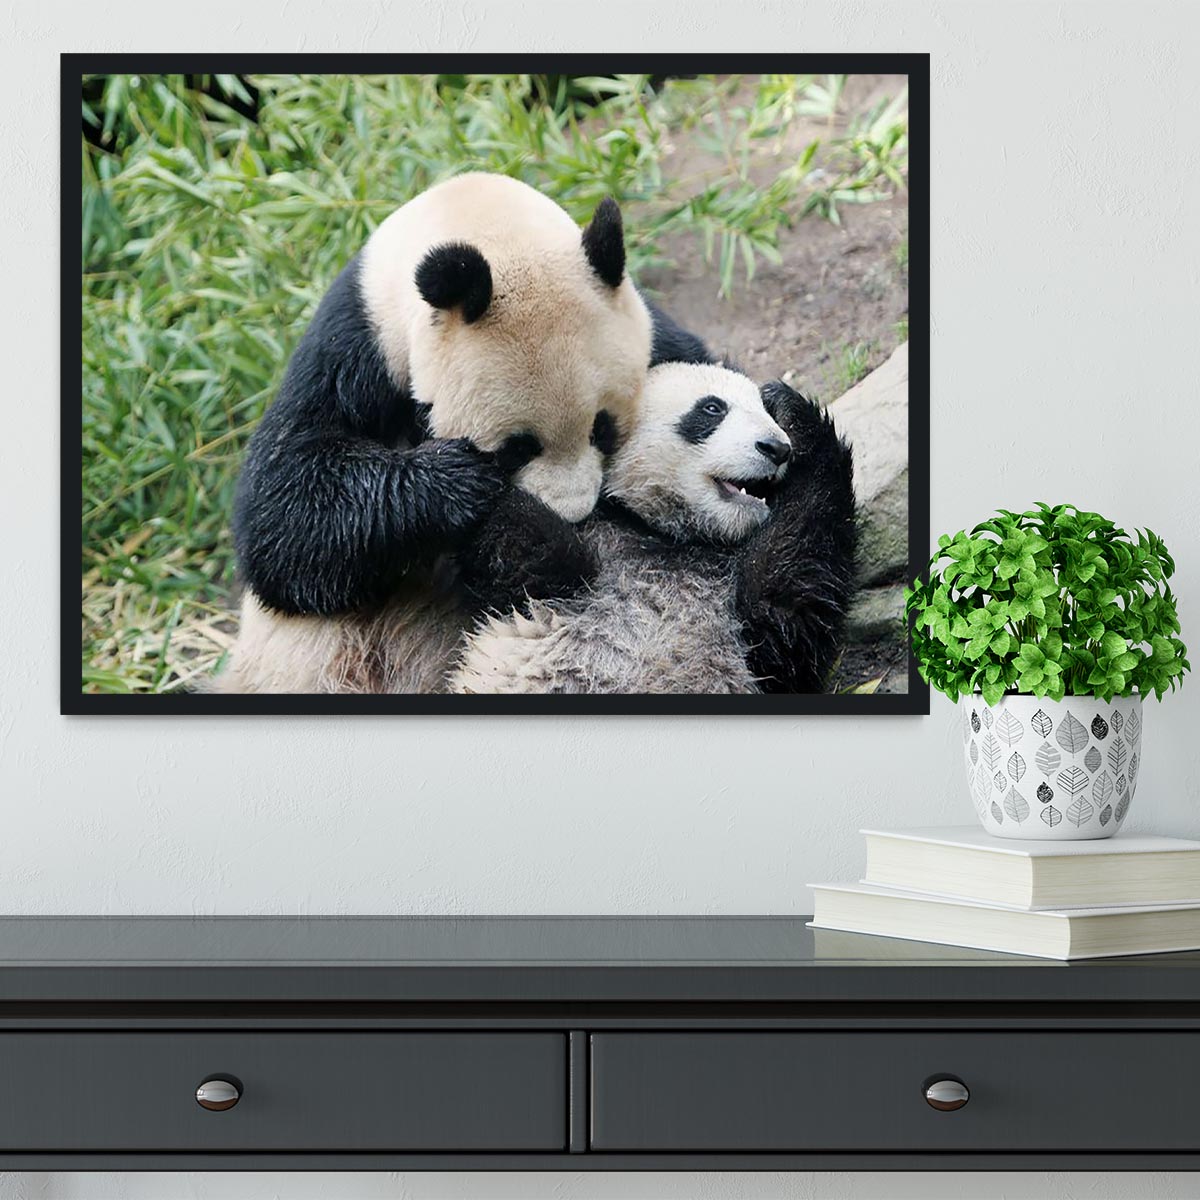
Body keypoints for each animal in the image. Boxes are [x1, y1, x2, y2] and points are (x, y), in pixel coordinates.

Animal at [449, 361, 858, 695]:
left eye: (764, 414)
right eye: (712, 408)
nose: (776, 447)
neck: (673, 536)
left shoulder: (748, 628)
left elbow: (789, 602)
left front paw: (792, 410)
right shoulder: (598, 548)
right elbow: (528, 548)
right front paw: (461, 479)